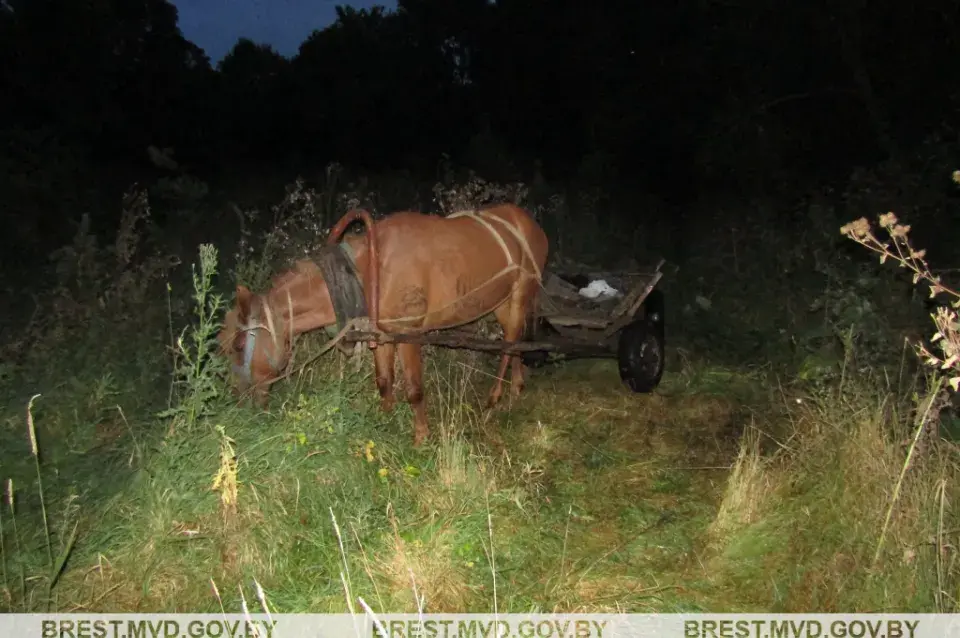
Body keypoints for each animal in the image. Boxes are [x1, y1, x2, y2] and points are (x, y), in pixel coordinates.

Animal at [218, 204, 548, 444]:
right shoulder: (383, 335)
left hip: (521, 294)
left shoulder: (409, 333)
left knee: (510, 344)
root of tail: (532, 224)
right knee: (515, 340)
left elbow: (414, 389)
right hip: (500, 302)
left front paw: (421, 438)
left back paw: (495, 397)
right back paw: (517, 386)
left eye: (238, 345)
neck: (367, 271)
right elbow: (384, 382)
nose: (236, 400)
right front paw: (384, 420)